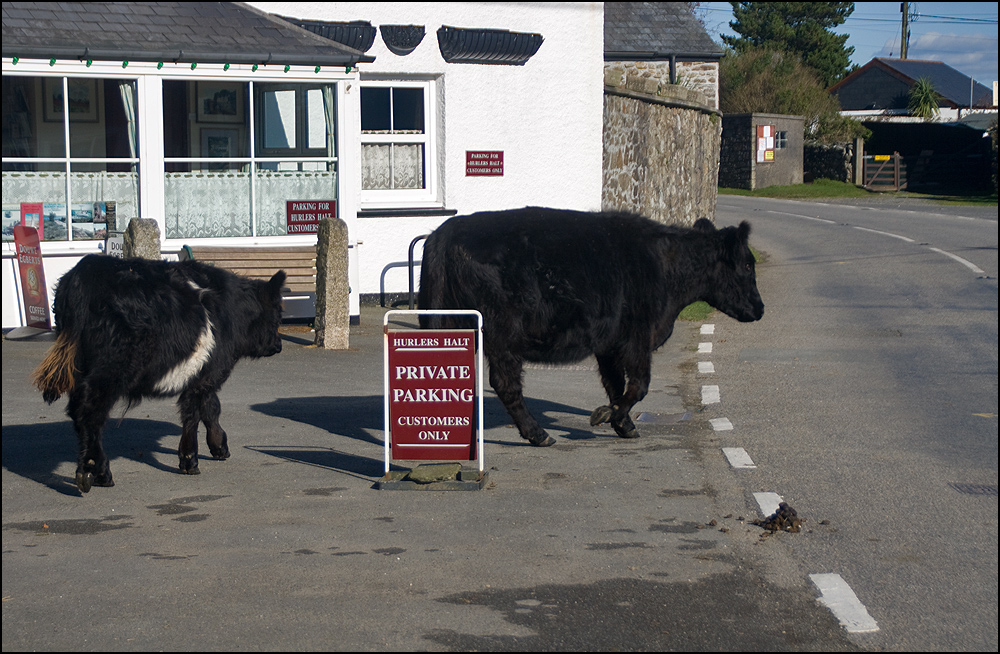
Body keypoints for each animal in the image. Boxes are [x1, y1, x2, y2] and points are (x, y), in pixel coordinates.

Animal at [34, 254, 286, 494]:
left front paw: (218, 446)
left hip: (81, 369)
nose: (278, 345)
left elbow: (210, 408)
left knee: (79, 415)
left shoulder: (203, 373)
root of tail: (86, 271)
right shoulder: (210, 372)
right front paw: (190, 460)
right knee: (90, 415)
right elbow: (194, 414)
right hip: (109, 372)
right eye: (277, 315)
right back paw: (95, 473)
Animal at [418, 208, 760, 448]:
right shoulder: (637, 338)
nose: (760, 308)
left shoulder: (609, 344)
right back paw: (538, 434)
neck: (664, 265)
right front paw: (608, 415)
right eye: (746, 264)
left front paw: (624, 425)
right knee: (506, 384)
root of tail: (445, 232)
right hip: (503, 335)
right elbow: (639, 385)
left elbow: (615, 385)